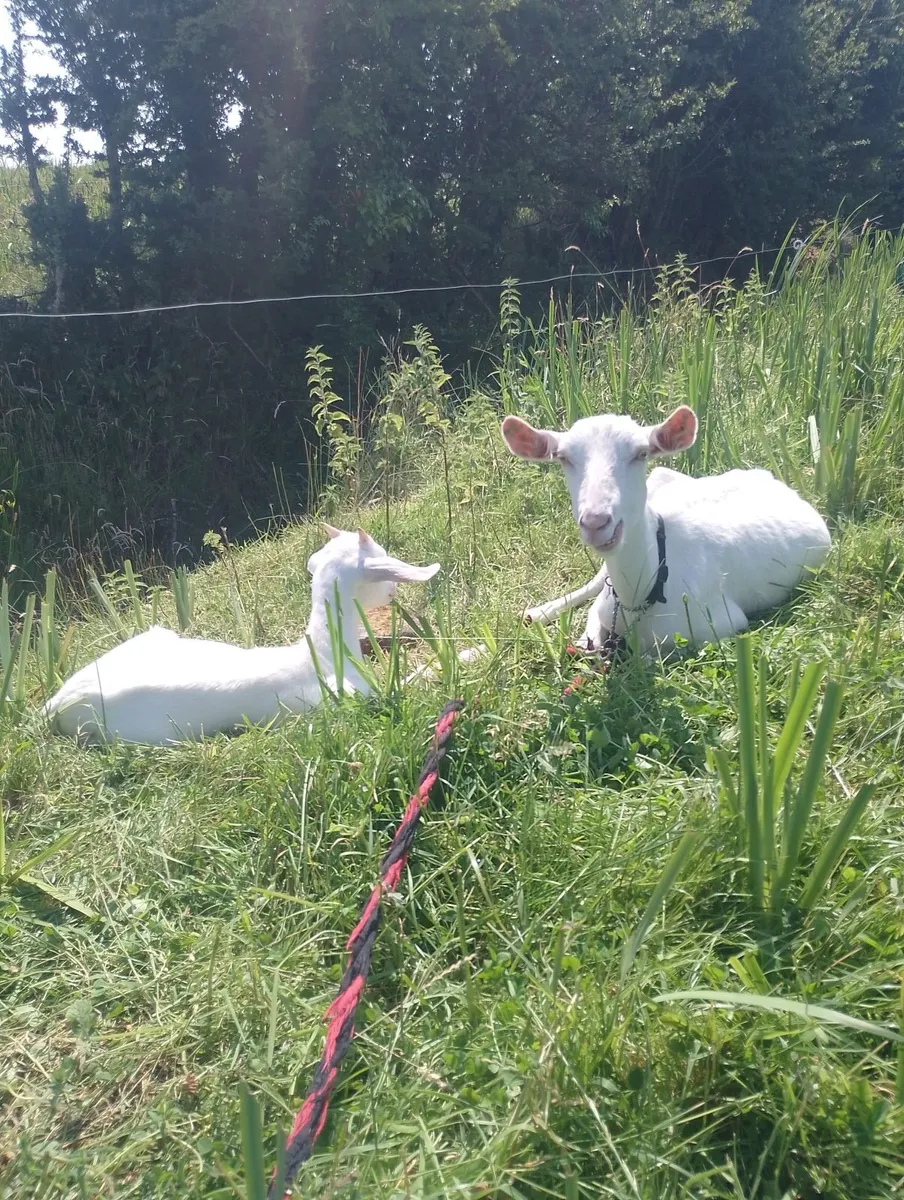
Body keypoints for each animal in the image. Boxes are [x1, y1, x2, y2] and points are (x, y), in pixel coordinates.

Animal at [501, 405, 831, 652]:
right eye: (563, 457)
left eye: (641, 453)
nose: (596, 522)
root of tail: (769, 478)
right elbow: (593, 624)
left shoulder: (724, 623)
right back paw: (536, 613)